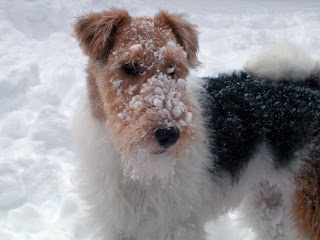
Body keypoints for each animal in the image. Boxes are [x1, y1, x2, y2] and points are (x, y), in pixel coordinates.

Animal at [72, 7, 320, 240]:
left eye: (173, 67)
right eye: (129, 67)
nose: (169, 134)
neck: (133, 165)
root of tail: (310, 86)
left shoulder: (177, 227)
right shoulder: (120, 226)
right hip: (269, 205)